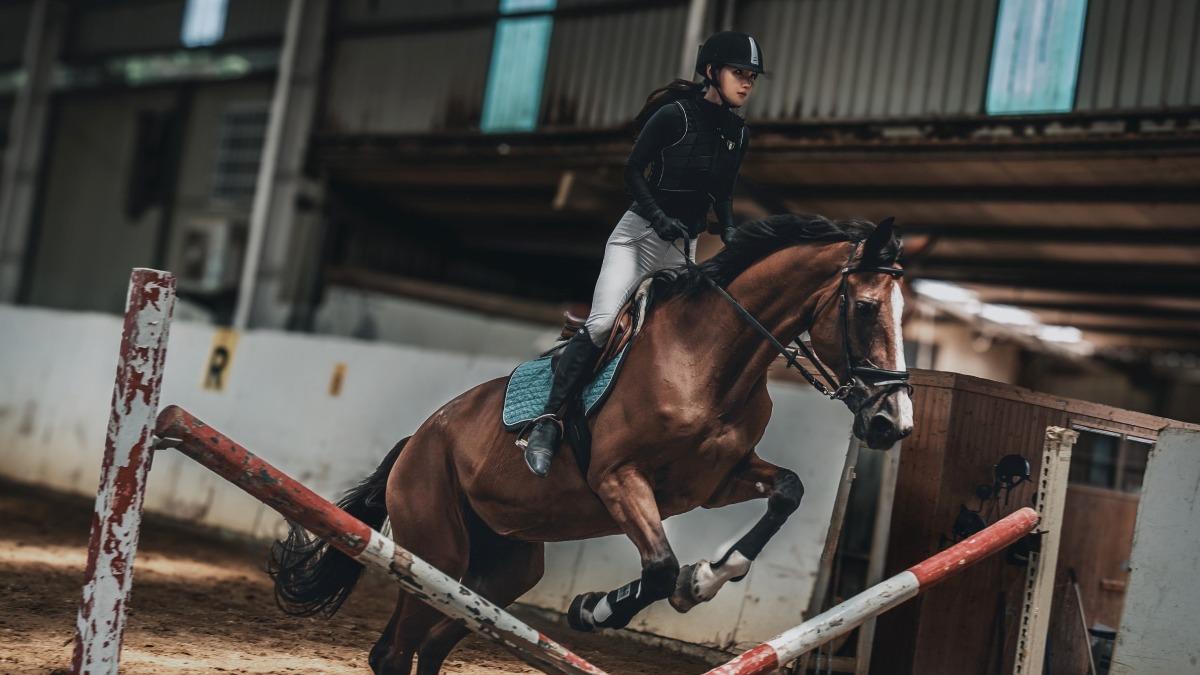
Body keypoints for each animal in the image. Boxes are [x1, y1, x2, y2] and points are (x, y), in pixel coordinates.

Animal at [269, 214, 913, 675]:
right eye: (864, 308)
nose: (893, 423)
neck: (710, 362)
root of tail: (417, 439)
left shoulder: (714, 481)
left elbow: (787, 491)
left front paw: (707, 578)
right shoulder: (618, 479)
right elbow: (659, 569)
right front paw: (598, 607)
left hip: (499, 574)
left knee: (429, 647)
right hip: (436, 552)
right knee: (394, 653)